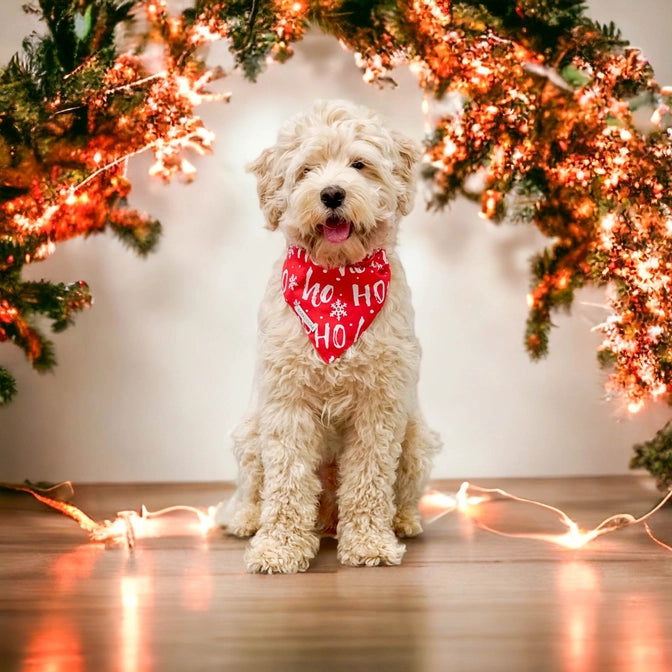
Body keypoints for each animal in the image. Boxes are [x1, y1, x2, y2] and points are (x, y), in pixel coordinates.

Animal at [223, 98, 438, 572]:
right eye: (306, 170)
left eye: (359, 164)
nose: (332, 194)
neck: (337, 282)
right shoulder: (287, 403)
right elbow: (286, 483)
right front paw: (278, 547)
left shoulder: (381, 404)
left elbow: (369, 480)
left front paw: (369, 544)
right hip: (250, 432)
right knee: (253, 490)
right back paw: (245, 520)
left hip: (416, 439)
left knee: (400, 493)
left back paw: (402, 521)